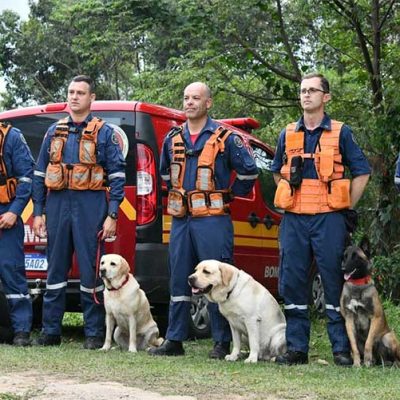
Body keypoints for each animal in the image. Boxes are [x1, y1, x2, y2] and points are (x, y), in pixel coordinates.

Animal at [340, 239, 400, 368]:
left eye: (355, 257)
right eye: (345, 256)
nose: (343, 268)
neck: (357, 285)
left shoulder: (375, 318)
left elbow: (368, 343)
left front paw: (367, 362)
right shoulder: (349, 321)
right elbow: (354, 347)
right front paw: (357, 364)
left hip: (387, 337)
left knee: (397, 359)